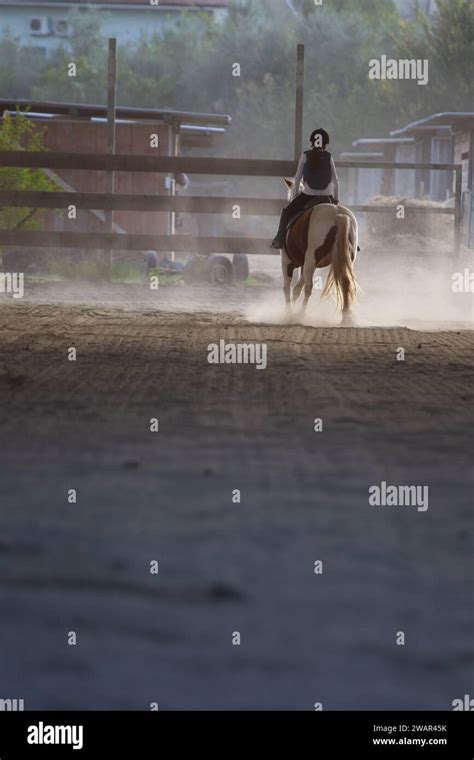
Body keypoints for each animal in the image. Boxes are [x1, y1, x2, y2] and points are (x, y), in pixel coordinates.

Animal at [280, 180, 358, 326]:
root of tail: (337, 215)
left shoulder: (287, 261)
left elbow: (288, 287)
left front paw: (288, 313)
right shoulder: (304, 265)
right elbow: (297, 288)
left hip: (310, 260)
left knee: (309, 287)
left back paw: (302, 314)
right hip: (345, 260)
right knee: (346, 282)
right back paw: (346, 317)